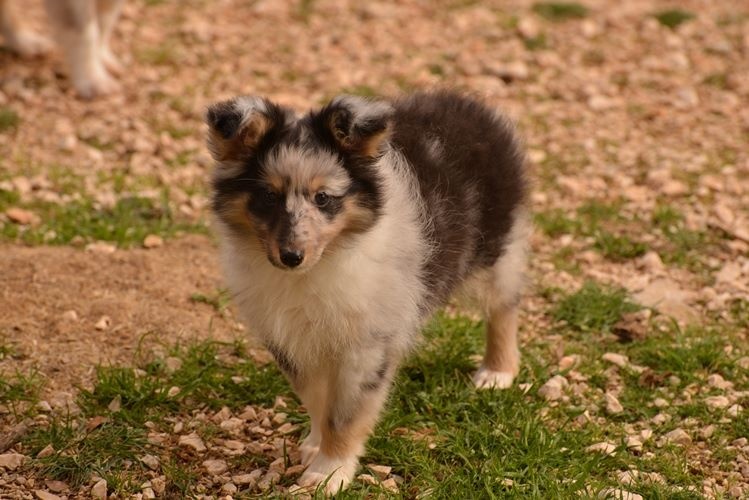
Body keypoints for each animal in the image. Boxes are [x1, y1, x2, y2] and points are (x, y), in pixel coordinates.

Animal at [205, 90, 528, 492]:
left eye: (323, 198)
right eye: (268, 196)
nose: (291, 256)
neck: (320, 265)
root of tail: (471, 104)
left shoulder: (366, 345)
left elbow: (343, 415)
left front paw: (328, 474)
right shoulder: (292, 340)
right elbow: (316, 399)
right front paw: (314, 446)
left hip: (495, 249)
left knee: (504, 305)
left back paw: (497, 372)